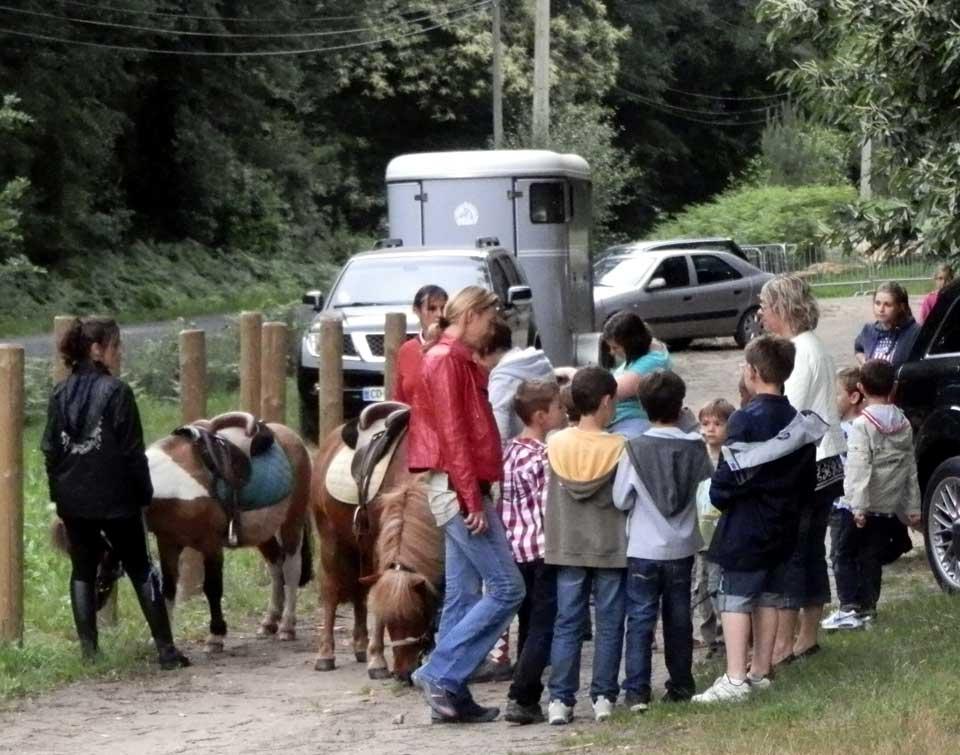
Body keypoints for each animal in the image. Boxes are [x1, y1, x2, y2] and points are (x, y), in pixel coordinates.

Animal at [144, 411, 313, 652]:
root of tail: (294, 438)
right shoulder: (167, 542)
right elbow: (167, 588)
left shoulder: (211, 544)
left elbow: (213, 588)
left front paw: (216, 636)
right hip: (262, 532)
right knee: (275, 566)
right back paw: (269, 621)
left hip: (292, 521)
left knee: (291, 568)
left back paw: (287, 627)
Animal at [311, 425, 441, 682]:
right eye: (391, 621)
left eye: (419, 612)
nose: (403, 672)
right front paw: (378, 661)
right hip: (332, 542)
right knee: (331, 592)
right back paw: (326, 654)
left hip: (360, 550)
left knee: (360, 593)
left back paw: (361, 645)